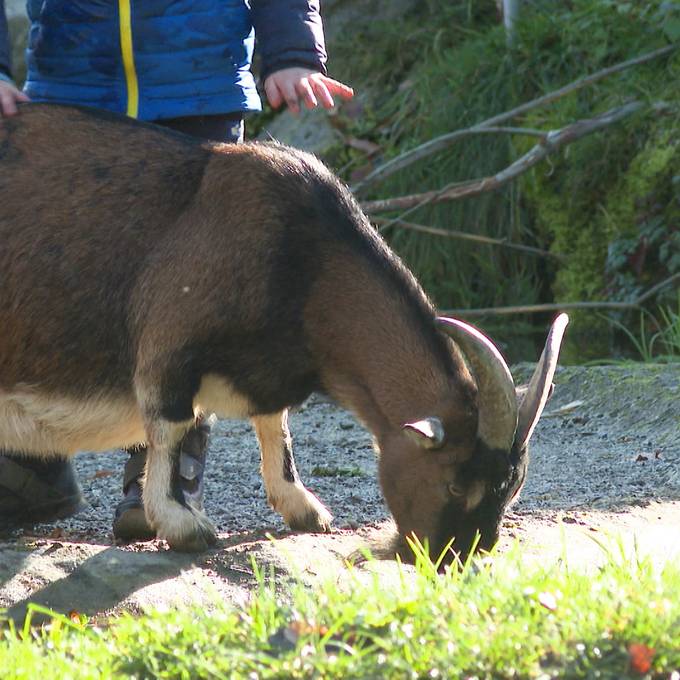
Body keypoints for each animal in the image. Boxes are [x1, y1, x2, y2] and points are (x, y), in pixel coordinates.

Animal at [1, 106, 568, 560]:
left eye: (511, 490)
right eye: (454, 485)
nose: (450, 557)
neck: (304, 260)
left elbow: (276, 425)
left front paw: (303, 508)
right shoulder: (170, 338)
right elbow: (170, 424)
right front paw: (182, 524)